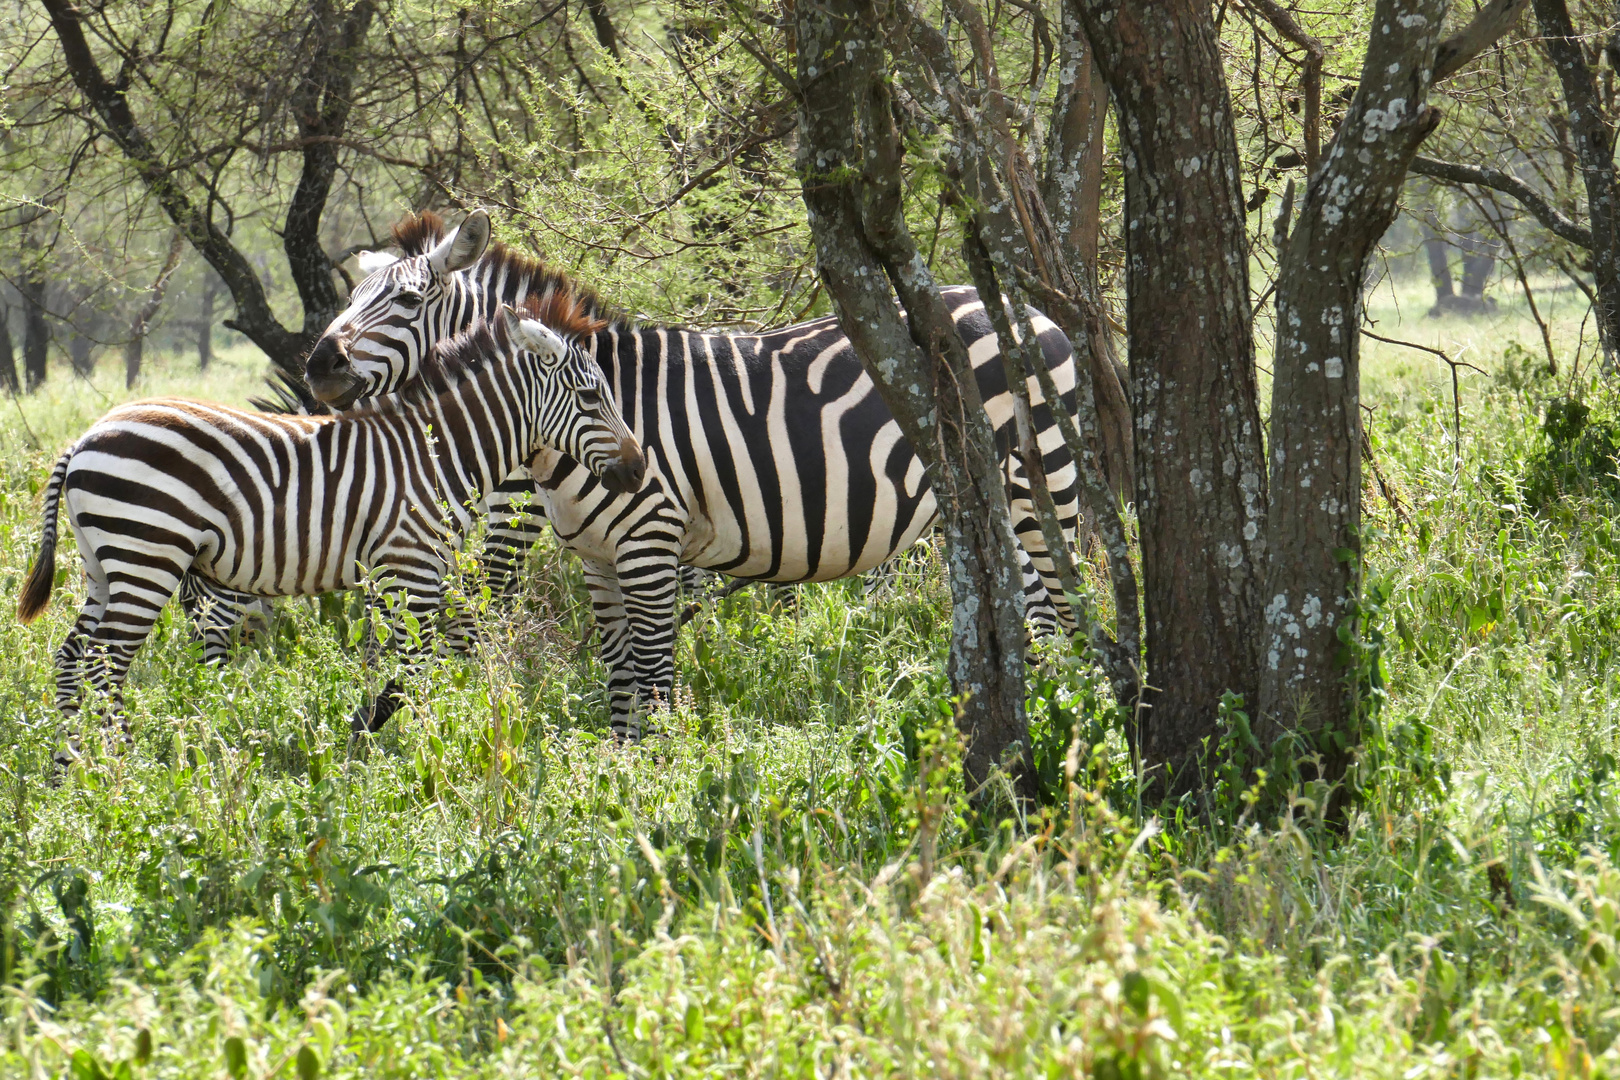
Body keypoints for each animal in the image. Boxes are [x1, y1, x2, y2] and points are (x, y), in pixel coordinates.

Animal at [19, 304, 641, 761]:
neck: (437, 455)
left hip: (103, 563)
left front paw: (378, 743)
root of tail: (85, 437)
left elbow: (390, 660)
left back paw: (69, 771)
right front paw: (398, 754)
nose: (637, 471)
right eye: (591, 397)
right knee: (104, 664)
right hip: (145, 554)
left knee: (73, 660)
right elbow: (413, 669)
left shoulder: (392, 576)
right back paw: (119, 769)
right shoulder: (410, 568)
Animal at [304, 208, 1088, 744]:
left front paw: (662, 774)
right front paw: (620, 774)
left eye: (407, 301)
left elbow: (653, 674)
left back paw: (1073, 718)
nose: (318, 366)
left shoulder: (651, 542)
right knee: (1036, 608)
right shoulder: (598, 558)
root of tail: (1028, 311)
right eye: (352, 295)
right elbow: (620, 675)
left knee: (1063, 605)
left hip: (1041, 481)